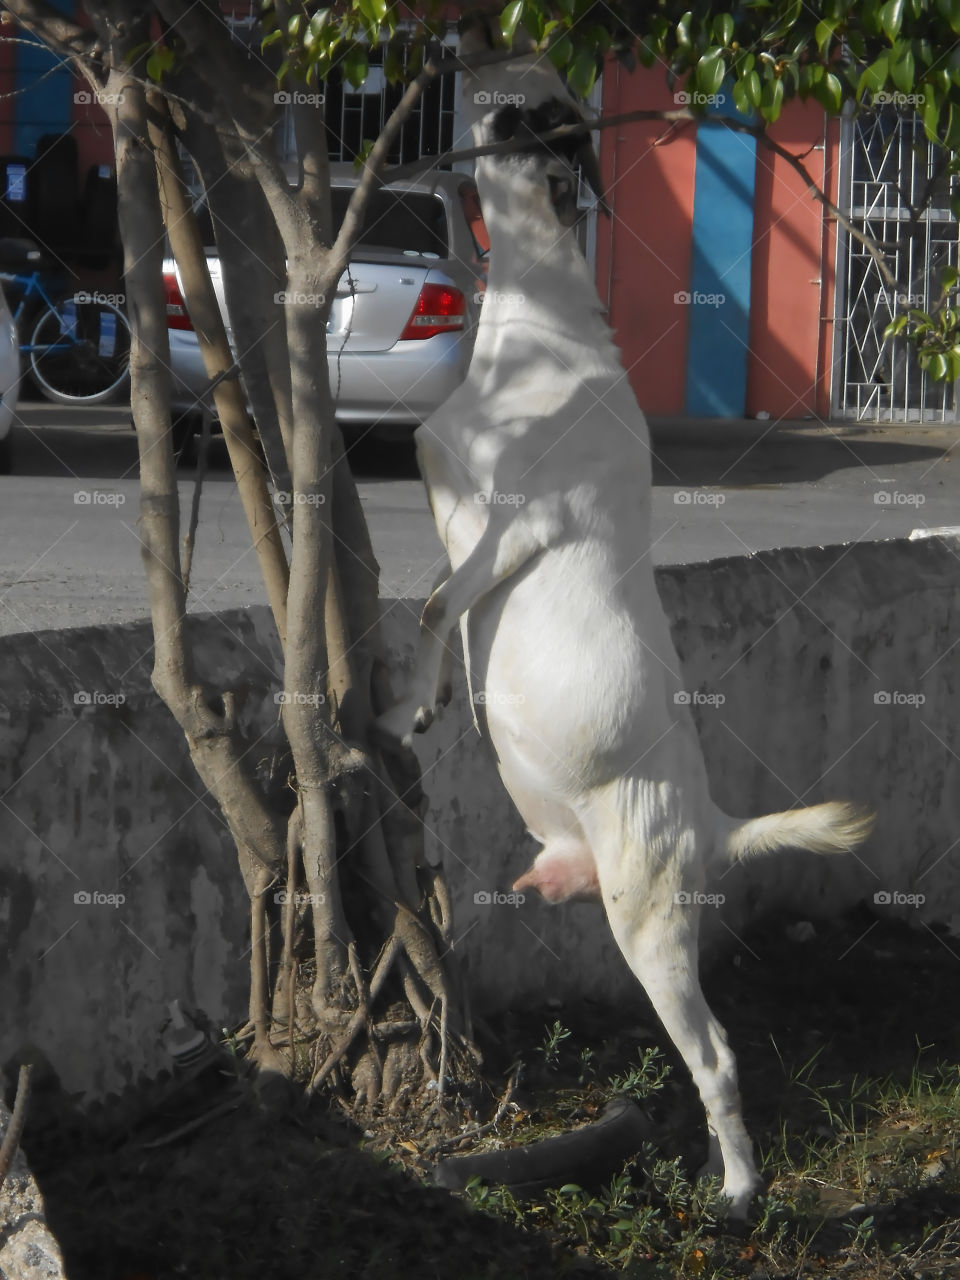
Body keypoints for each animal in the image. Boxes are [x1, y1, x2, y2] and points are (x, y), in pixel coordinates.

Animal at [376, 24, 880, 1213]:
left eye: (534, 109)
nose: (474, 53)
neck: (541, 333)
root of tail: (715, 823)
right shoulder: (450, 491)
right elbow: (439, 598)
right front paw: (439, 697)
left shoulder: (523, 520)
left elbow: (438, 600)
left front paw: (413, 706)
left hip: (646, 919)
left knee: (720, 1056)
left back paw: (738, 1188)